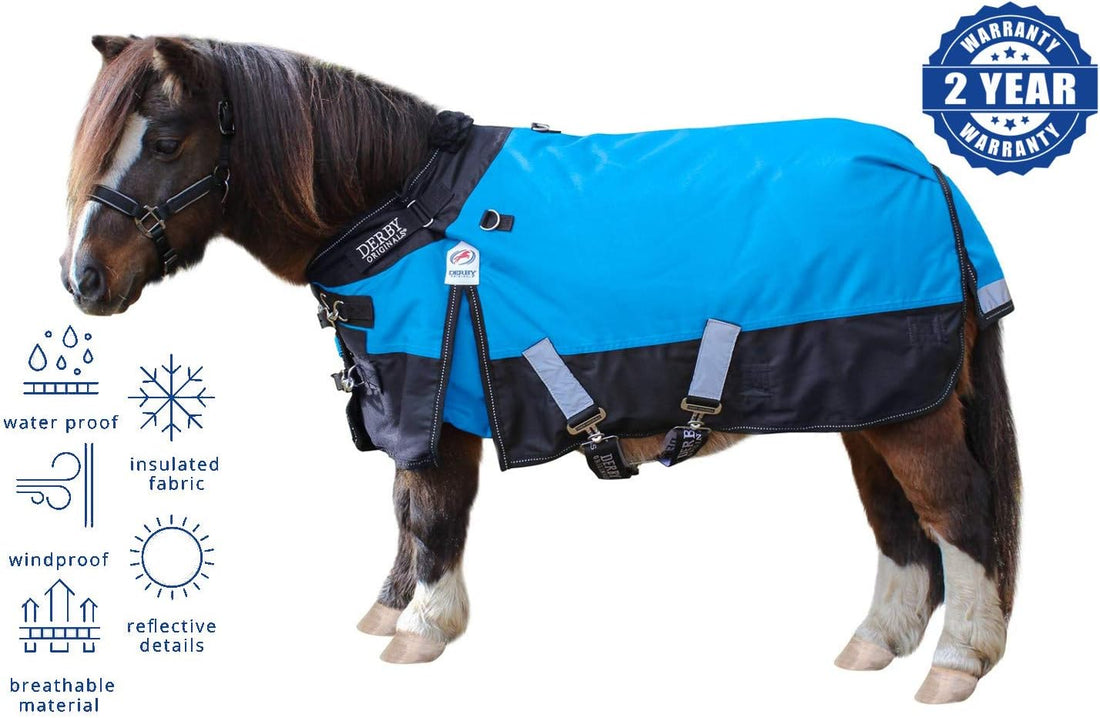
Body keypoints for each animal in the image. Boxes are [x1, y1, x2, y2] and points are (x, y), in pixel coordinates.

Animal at [61, 35, 1021, 704]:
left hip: (908, 411)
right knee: (899, 524)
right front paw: (389, 609)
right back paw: (876, 642)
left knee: (956, 511)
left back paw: (956, 662)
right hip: (870, 407)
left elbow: (433, 512)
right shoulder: (406, 399)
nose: (83, 281)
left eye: (168, 140)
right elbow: (405, 510)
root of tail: (929, 170)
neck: (402, 207)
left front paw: (424, 627)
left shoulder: (433, 399)